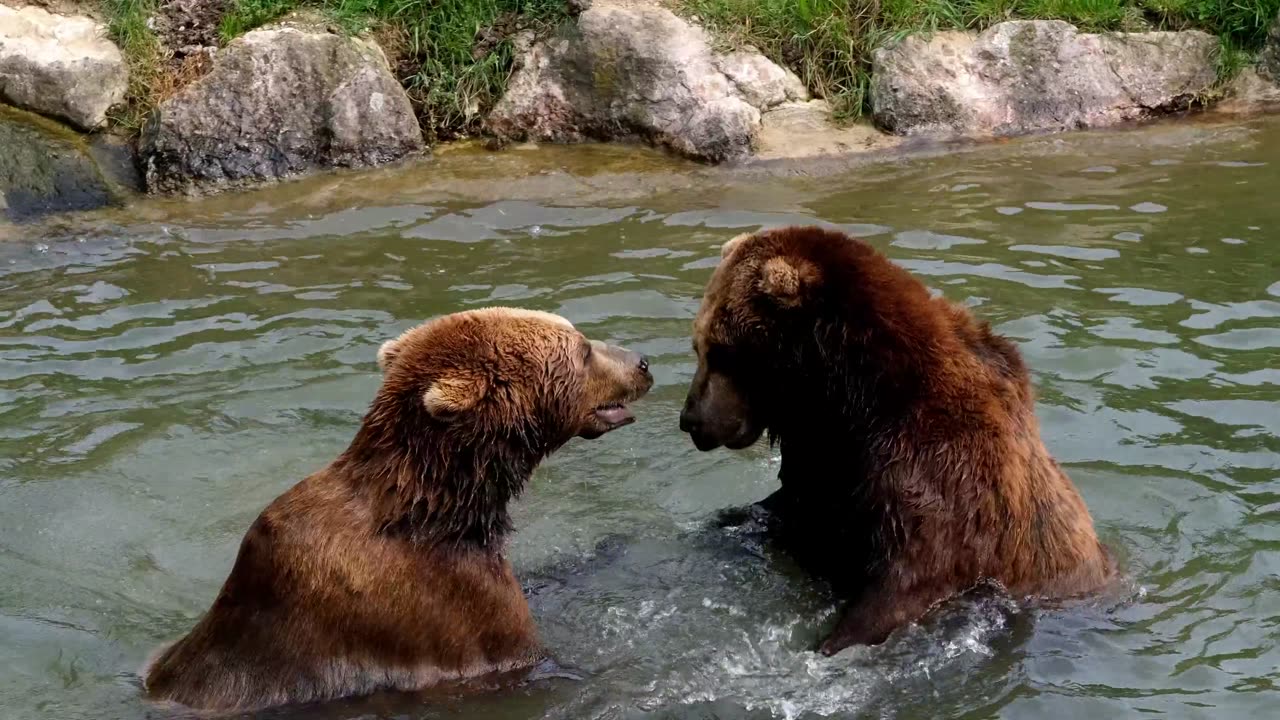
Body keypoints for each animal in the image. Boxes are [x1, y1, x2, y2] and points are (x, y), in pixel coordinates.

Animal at [675, 226, 1116, 653]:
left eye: (721, 351)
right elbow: (786, 507)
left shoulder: (938, 471)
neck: (844, 398)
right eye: (698, 345)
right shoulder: (822, 461)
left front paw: (832, 643)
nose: (690, 419)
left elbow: (907, 579)